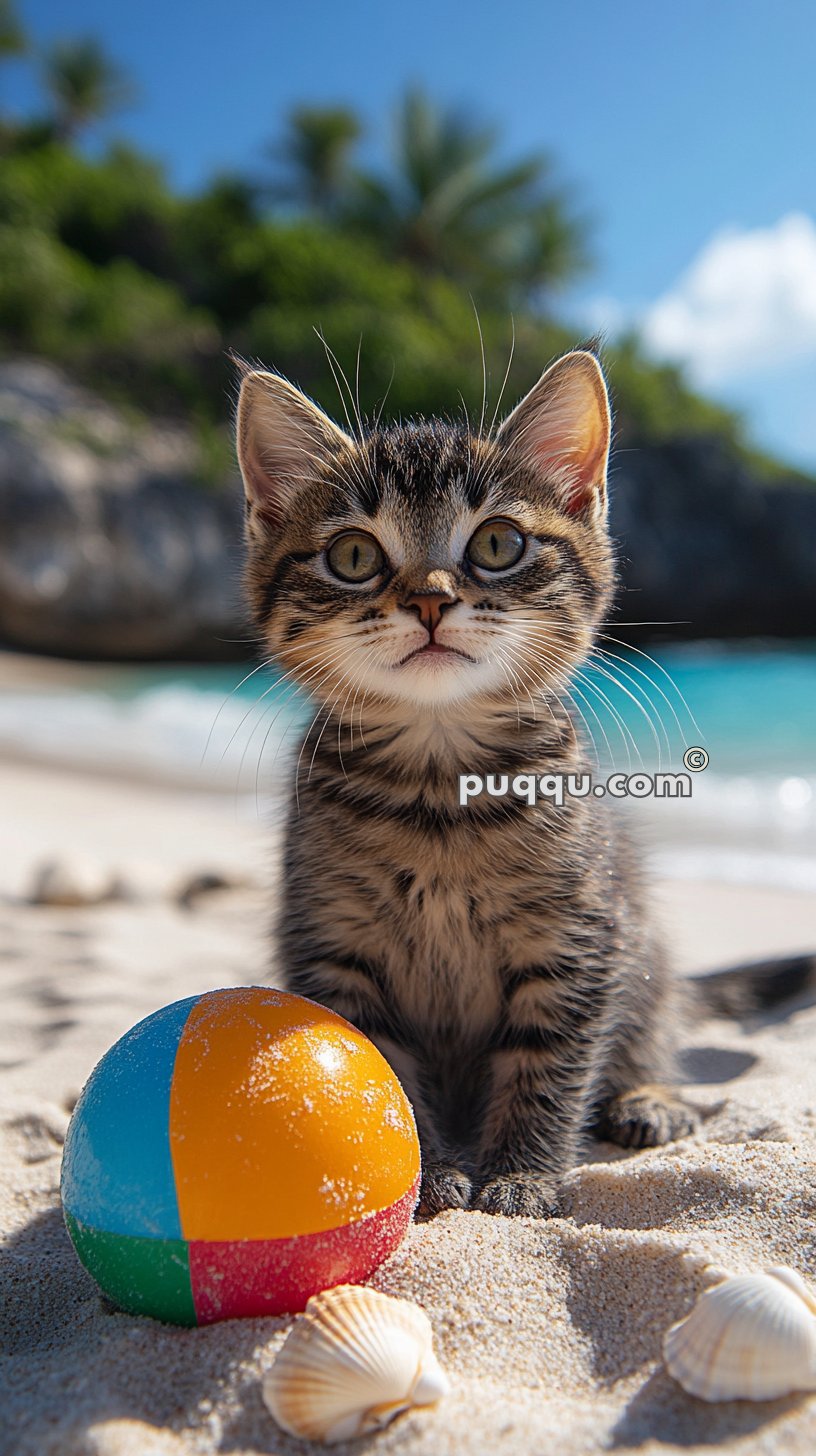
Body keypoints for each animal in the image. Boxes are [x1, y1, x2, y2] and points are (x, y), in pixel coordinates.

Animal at [233, 352, 699, 1217]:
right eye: (354, 557)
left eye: (497, 543)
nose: (430, 598)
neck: (437, 790)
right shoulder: (335, 945)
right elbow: (384, 1066)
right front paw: (433, 1167)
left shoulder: (577, 937)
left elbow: (548, 1062)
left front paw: (522, 1171)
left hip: (644, 943)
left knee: (650, 1030)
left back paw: (647, 1096)